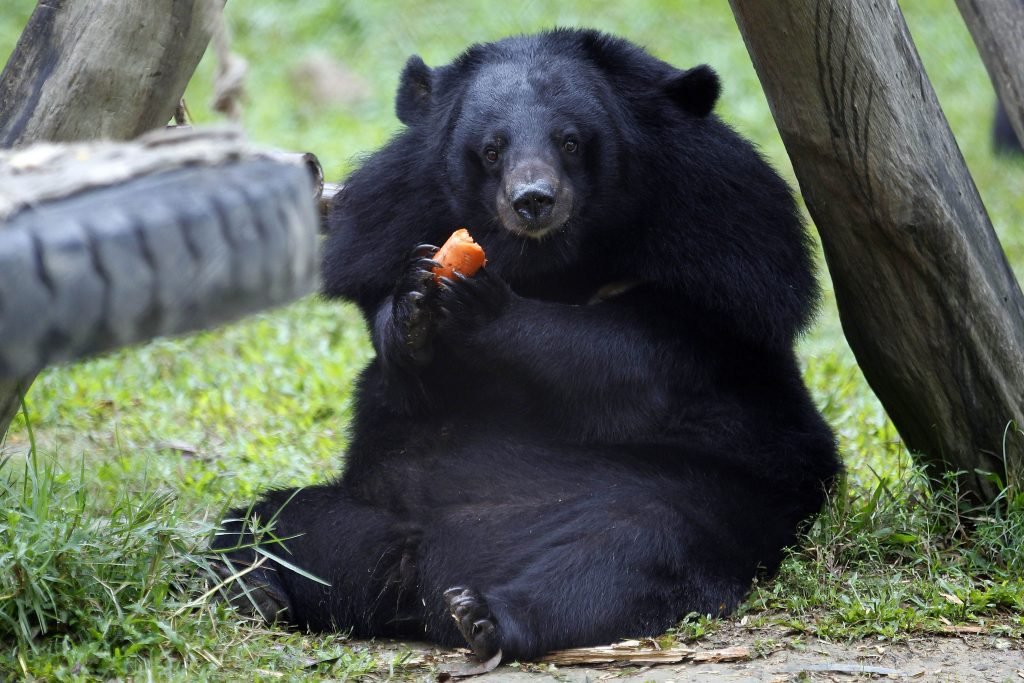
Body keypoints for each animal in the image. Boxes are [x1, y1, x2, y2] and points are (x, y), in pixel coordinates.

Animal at [214, 28, 839, 663]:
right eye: (492, 149)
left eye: (570, 141)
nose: (533, 200)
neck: (549, 260)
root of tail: (420, 578)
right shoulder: (388, 221)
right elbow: (402, 366)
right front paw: (415, 302)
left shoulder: (724, 257)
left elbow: (629, 357)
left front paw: (480, 301)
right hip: (363, 511)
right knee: (267, 523)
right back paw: (255, 588)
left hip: (692, 504)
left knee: (624, 556)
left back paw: (483, 616)